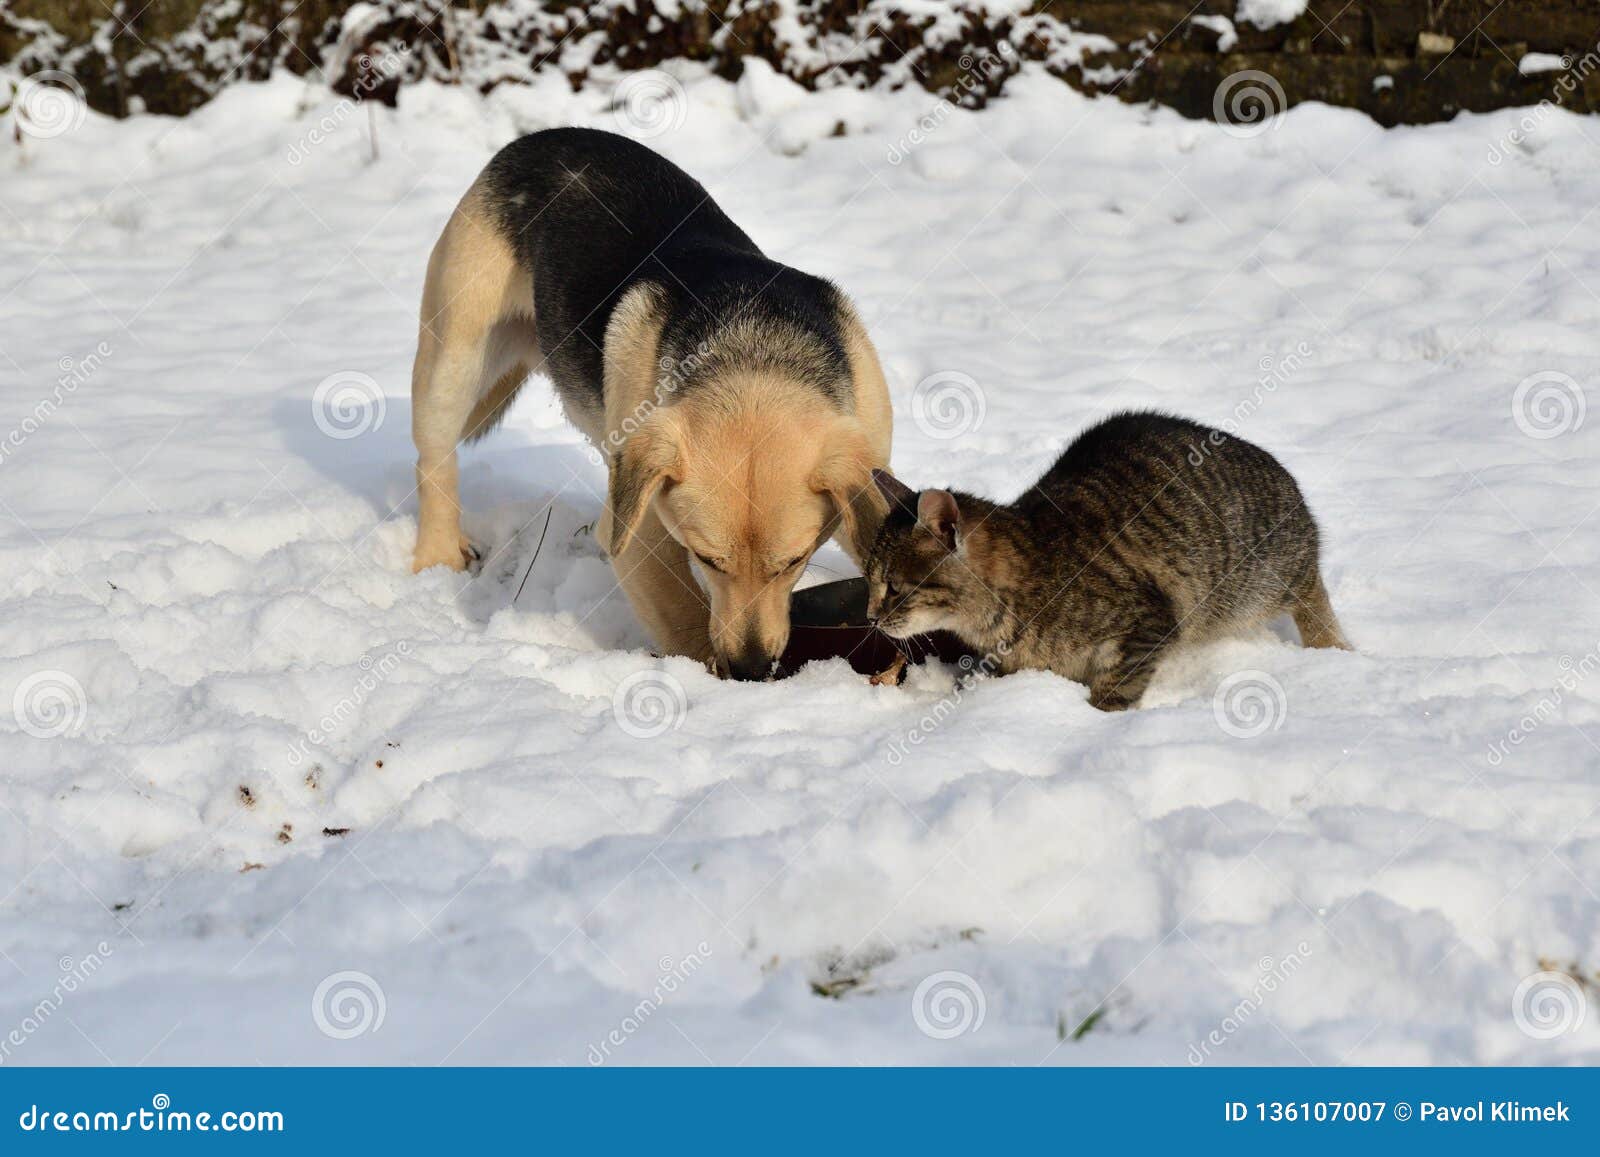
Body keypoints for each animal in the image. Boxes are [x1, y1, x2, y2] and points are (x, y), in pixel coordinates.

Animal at [406, 128, 896, 678]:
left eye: (796, 561)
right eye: (706, 559)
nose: (750, 669)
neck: (755, 358)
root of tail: (540, 138)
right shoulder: (643, 537)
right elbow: (684, 621)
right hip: (454, 363)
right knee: (434, 461)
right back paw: (439, 553)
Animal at [864, 412, 1350, 710]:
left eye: (894, 586)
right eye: (869, 580)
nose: (870, 617)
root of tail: (1287, 481)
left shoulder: (1149, 623)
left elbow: (1115, 688)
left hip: (1266, 575)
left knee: (1312, 592)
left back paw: (1332, 647)